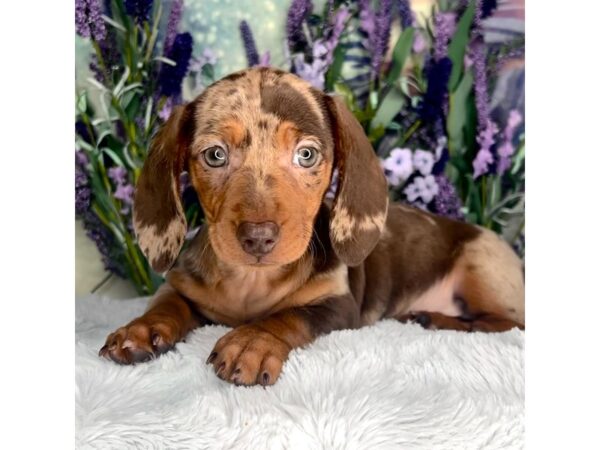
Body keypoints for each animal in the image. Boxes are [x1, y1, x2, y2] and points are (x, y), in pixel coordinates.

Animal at [101, 67, 524, 386]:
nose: (258, 237)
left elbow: (288, 316)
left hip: (481, 266)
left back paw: (439, 320)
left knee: (508, 323)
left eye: (306, 154)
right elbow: (167, 302)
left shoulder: (337, 305)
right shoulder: (183, 288)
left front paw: (253, 341)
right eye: (215, 155)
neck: (251, 281)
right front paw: (140, 329)